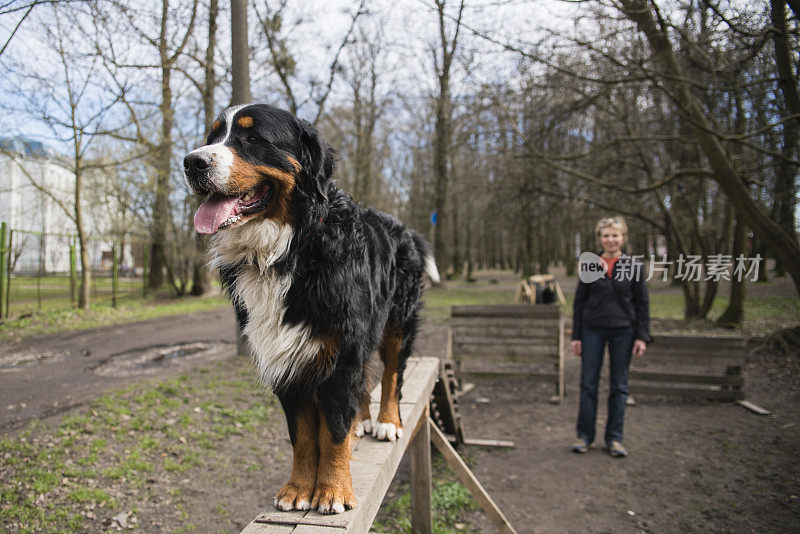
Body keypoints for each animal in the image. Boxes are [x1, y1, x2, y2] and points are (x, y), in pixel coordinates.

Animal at [183, 102, 438, 516]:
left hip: (398, 323)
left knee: (392, 375)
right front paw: (298, 489)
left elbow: (331, 431)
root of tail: (404, 228)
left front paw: (333, 490)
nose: (192, 162)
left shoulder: (341, 351)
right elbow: (302, 435)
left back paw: (386, 422)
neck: (286, 250)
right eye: (213, 136)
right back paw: (361, 423)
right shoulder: (285, 358)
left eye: (252, 138)